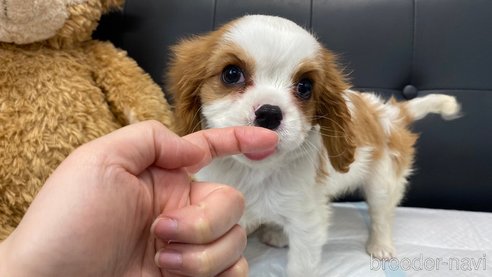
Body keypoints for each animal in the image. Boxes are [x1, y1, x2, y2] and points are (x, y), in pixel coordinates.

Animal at [168, 15, 462, 276]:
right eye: (231, 74)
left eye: (305, 87)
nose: (269, 113)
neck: (255, 172)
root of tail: (389, 111)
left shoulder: (308, 223)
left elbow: (301, 265)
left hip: (383, 179)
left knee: (382, 213)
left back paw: (380, 244)